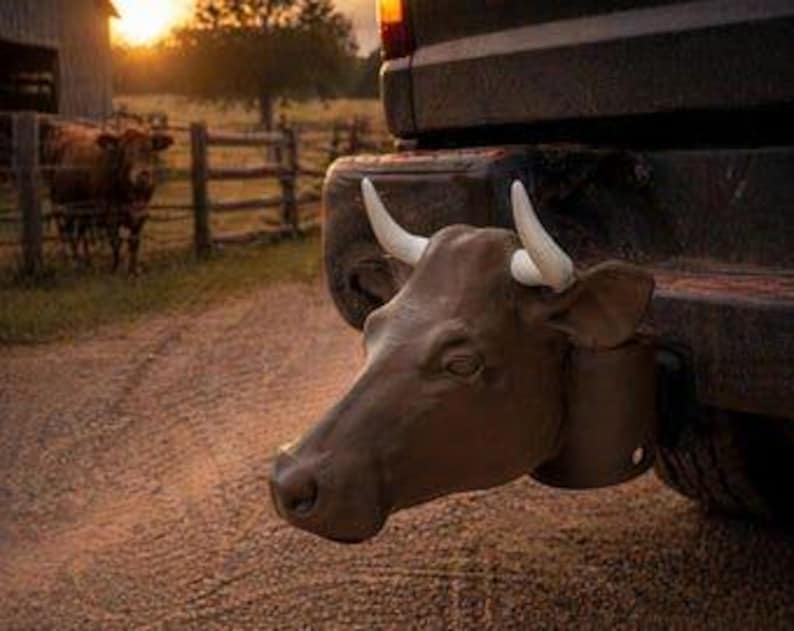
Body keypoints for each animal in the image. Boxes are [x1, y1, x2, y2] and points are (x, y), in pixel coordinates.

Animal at [47, 123, 173, 274]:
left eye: (150, 150)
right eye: (125, 152)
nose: (143, 174)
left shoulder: (141, 214)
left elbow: (134, 242)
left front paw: (133, 269)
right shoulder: (110, 216)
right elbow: (116, 242)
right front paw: (117, 268)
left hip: (84, 210)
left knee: (81, 232)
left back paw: (87, 262)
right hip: (63, 205)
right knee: (67, 232)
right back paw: (73, 261)